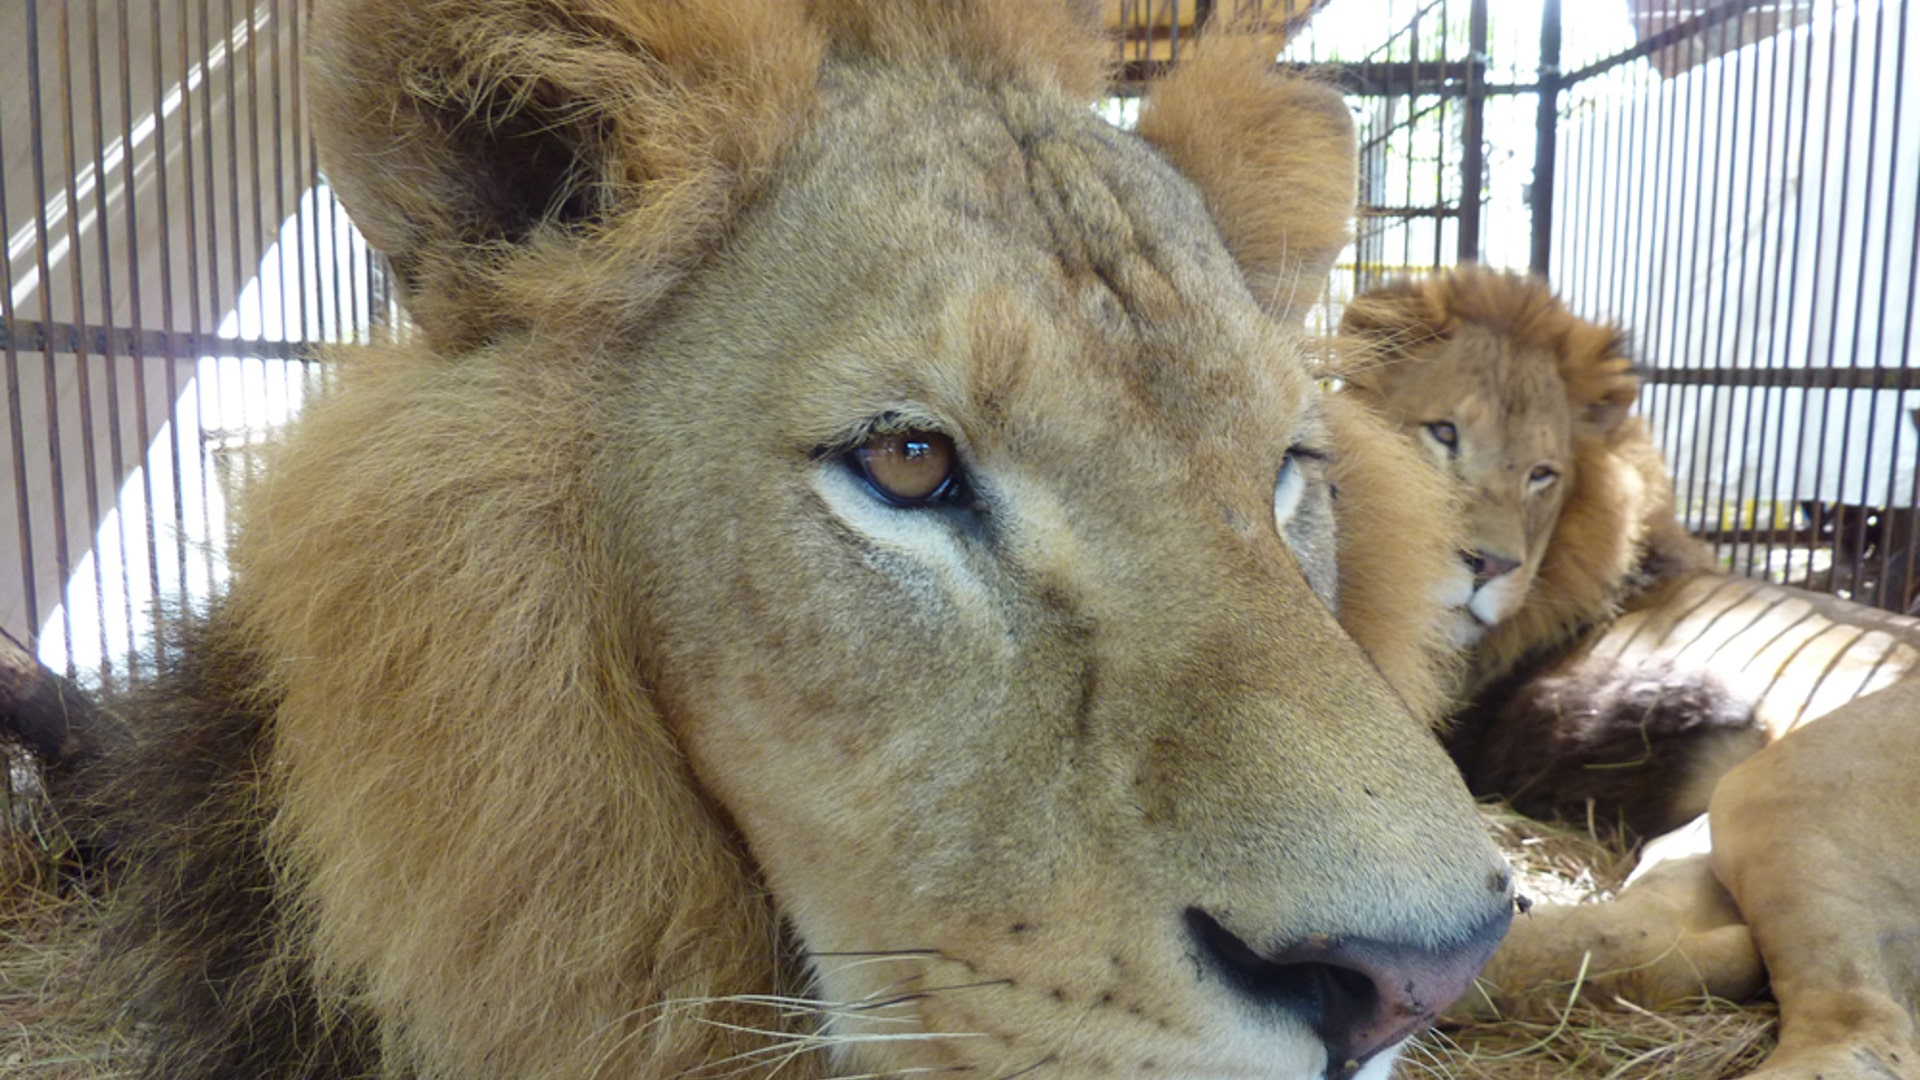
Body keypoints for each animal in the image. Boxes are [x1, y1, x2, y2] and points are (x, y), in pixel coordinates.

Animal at [1341, 266, 1920, 1080]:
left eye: (1542, 474)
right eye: (1444, 433)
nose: (1491, 566)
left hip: (1781, 787)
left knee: (1865, 1027)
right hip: (1696, 840)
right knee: (1671, 941)